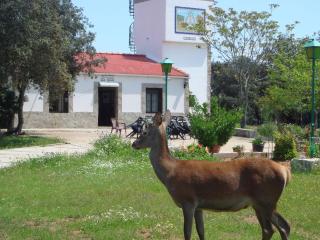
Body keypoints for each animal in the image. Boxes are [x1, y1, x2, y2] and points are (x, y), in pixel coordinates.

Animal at [131, 111, 292, 239]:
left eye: (144, 132)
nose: (134, 144)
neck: (170, 173)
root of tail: (284, 171)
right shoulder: (199, 206)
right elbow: (201, 231)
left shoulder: (188, 200)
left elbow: (187, 232)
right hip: (259, 203)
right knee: (275, 228)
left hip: (267, 200)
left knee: (279, 227)